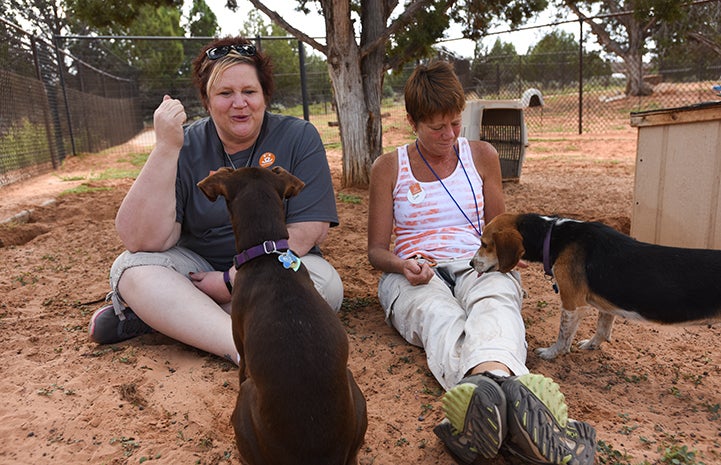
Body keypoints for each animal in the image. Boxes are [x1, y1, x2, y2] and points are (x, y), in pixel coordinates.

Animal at [470, 212, 720, 360]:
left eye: (484, 243)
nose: (471, 263)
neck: (555, 235)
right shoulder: (606, 304)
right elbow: (603, 328)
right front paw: (592, 345)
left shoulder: (572, 304)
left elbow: (563, 336)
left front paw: (551, 353)